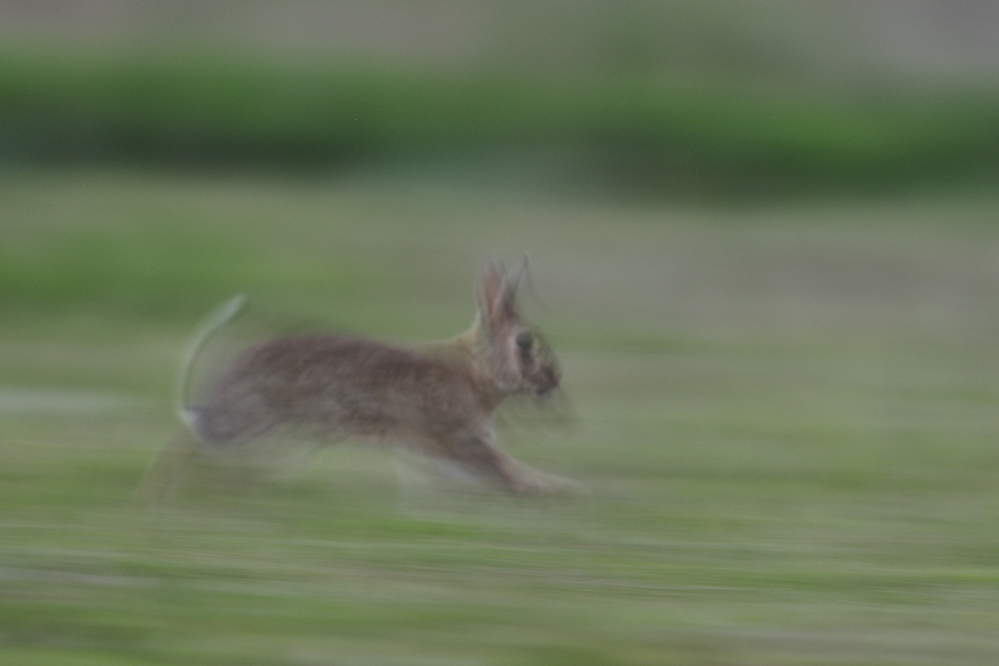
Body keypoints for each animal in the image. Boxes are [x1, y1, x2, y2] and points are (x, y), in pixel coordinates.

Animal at [140, 256, 580, 500]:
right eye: (525, 343)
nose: (555, 378)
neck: (478, 369)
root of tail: (217, 392)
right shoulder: (458, 440)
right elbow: (503, 468)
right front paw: (555, 488)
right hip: (265, 433)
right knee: (194, 445)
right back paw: (163, 494)